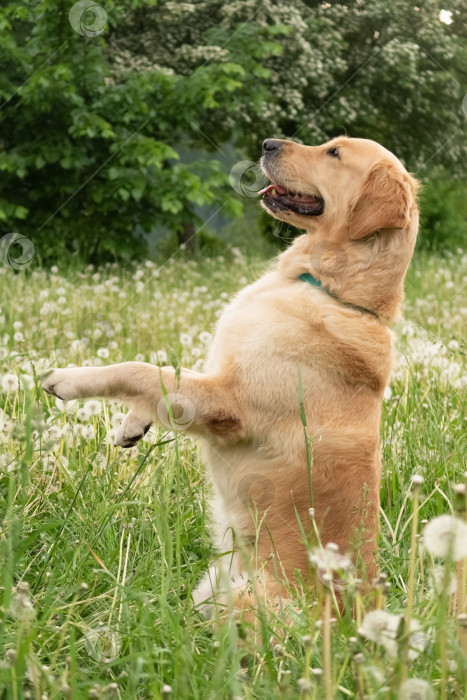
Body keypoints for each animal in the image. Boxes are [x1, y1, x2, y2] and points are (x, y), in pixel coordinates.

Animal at [42, 135, 418, 616]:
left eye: (334, 153)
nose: (268, 142)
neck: (332, 290)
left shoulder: (228, 403)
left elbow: (141, 370)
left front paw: (69, 378)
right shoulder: (216, 377)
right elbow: (163, 379)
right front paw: (132, 425)